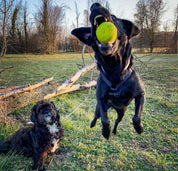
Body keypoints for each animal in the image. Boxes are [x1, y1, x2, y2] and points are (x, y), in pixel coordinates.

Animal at [71, 2, 145, 140]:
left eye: (114, 17)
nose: (95, 5)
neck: (113, 68)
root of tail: (114, 107)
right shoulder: (100, 99)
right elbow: (105, 120)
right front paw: (105, 131)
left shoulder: (141, 94)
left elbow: (137, 117)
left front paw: (139, 128)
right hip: (99, 109)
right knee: (97, 116)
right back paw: (93, 124)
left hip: (122, 112)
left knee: (117, 120)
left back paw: (115, 130)